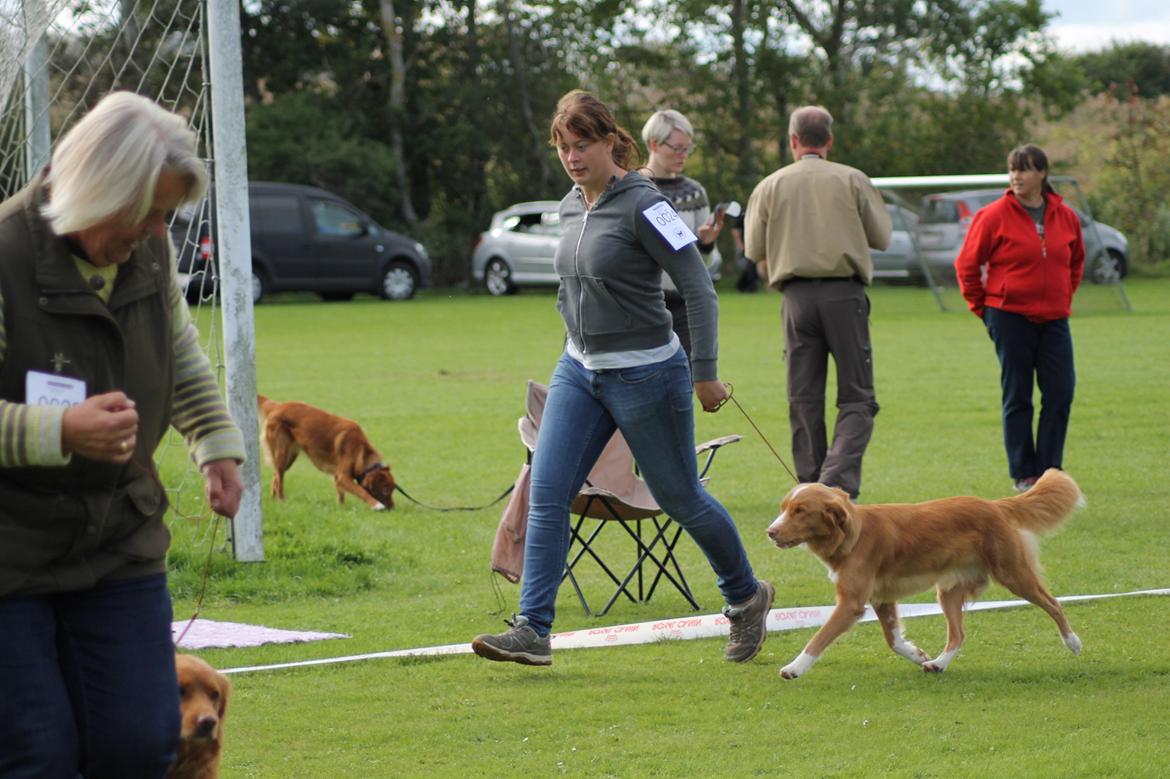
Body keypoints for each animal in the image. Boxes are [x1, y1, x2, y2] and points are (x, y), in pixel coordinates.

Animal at [257, 395, 397, 509]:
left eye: (392, 490)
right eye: (385, 490)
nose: (392, 508)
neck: (361, 450)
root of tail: (277, 406)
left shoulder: (338, 476)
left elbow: (341, 493)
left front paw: (341, 508)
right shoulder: (342, 476)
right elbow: (360, 490)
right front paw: (376, 505)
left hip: (289, 457)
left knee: (275, 476)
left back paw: (274, 500)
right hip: (282, 453)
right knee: (279, 478)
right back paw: (281, 500)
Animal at [762, 463, 1081, 678]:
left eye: (800, 511)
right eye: (784, 507)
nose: (770, 532)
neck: (853, 535)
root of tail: (995, 505)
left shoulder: (852, 603)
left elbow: (820, 637)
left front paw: (794, 667)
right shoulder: (881, 598)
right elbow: (894, 641)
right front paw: (918, 654)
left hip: (1013, 573)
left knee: (1053, 603)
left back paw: (1072, 642)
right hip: (949, 591)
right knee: (958, 634)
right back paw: (938, 663)